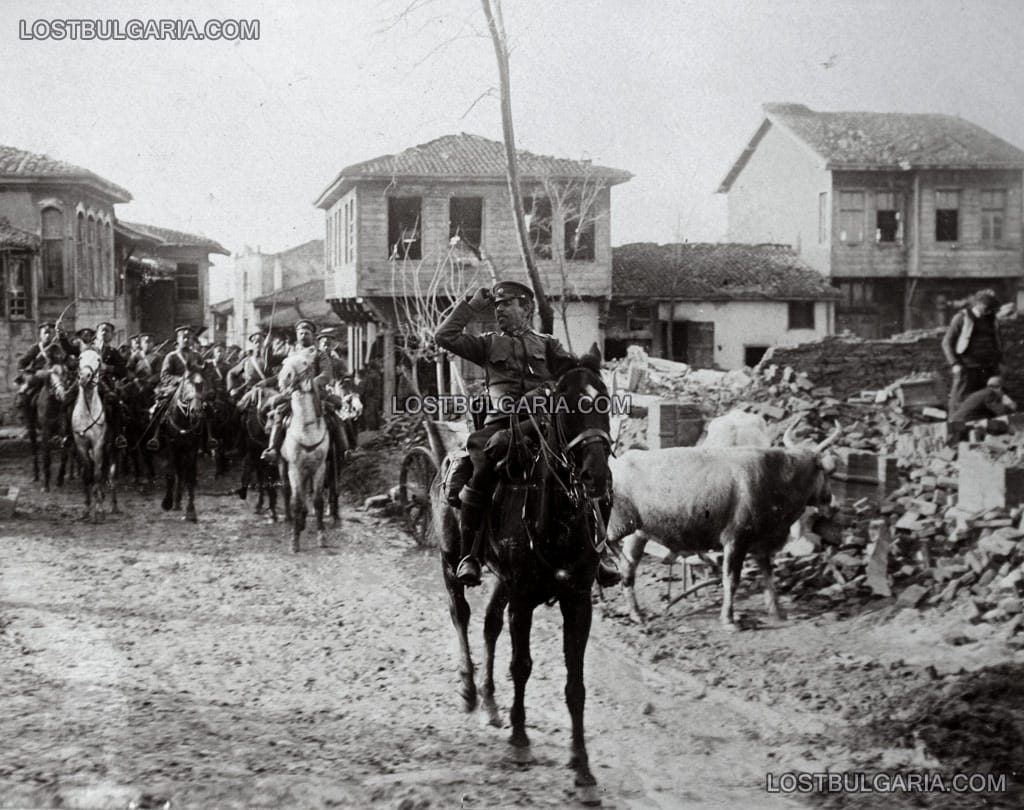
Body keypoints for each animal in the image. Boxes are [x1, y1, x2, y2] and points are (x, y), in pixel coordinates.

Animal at [72, 348, 117, 520]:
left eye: (98, 359)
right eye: (80, 357)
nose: (85, 377)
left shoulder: (98, 445)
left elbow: (97, 474)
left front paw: (98, 509)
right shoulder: (81, 446)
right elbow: (87, 475)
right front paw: (86, 508)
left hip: (113, 448)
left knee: (110, 473)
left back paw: (113, 505)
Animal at [155, 370, 205, 522]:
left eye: (202, 384)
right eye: (186, 384)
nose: (196, 411)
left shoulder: (192, 448)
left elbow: (190, 478)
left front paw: (191, 511)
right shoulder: (171, 445)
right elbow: (171, 474)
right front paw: (167, 502)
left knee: (182, 472)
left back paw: (178, 501)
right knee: (177, 471)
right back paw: (174, 502)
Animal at [278, 348, 329, 552]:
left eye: (306, 363)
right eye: (284, 362)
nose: (285, 378)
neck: (306, 429)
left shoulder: (320, 467)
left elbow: (318, 501)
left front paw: (322, 537)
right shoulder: (295, 468)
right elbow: (296, 501)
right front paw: (294, 540)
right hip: (283, 465)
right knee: (287, 491)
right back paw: (292, 521)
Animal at [428, 346, 610, 802]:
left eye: (604, 401)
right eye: (565, 407)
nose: (596, 476)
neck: (556, 516)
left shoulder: (577, 601)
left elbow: (576, 684)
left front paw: (583, 768)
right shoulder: (524, 598)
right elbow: (522, 664)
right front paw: (521, 741)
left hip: (503, 583)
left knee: (490, 623)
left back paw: (492, 704)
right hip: (450, 563)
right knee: (461, 615)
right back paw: (469, 690)